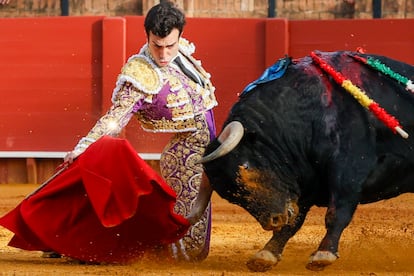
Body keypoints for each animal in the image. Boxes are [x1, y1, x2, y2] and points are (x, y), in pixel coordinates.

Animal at [188, 51, 414, 272]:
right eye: (231, 197)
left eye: (246, 167)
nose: (274, 221)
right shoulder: (303, 180)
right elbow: (295, 220)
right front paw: (266, 255)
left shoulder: (349, 169)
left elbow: (337, 212)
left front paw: (323, 254)